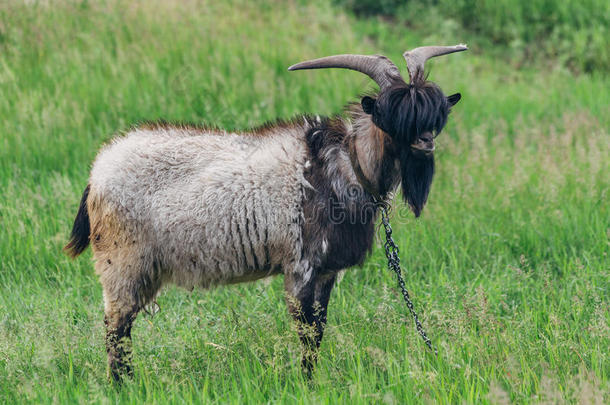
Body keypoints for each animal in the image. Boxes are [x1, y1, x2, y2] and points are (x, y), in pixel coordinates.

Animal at [64, 44, 466, 378]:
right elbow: (307, 333)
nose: (425, 143)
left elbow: (319, 329)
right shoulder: (301, 266)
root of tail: (97, 174)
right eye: (391, 114)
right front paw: (306, 383)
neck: (342, 166)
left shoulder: (326, 272)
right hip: (122, 264)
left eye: (433, 114)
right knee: (115, 330)